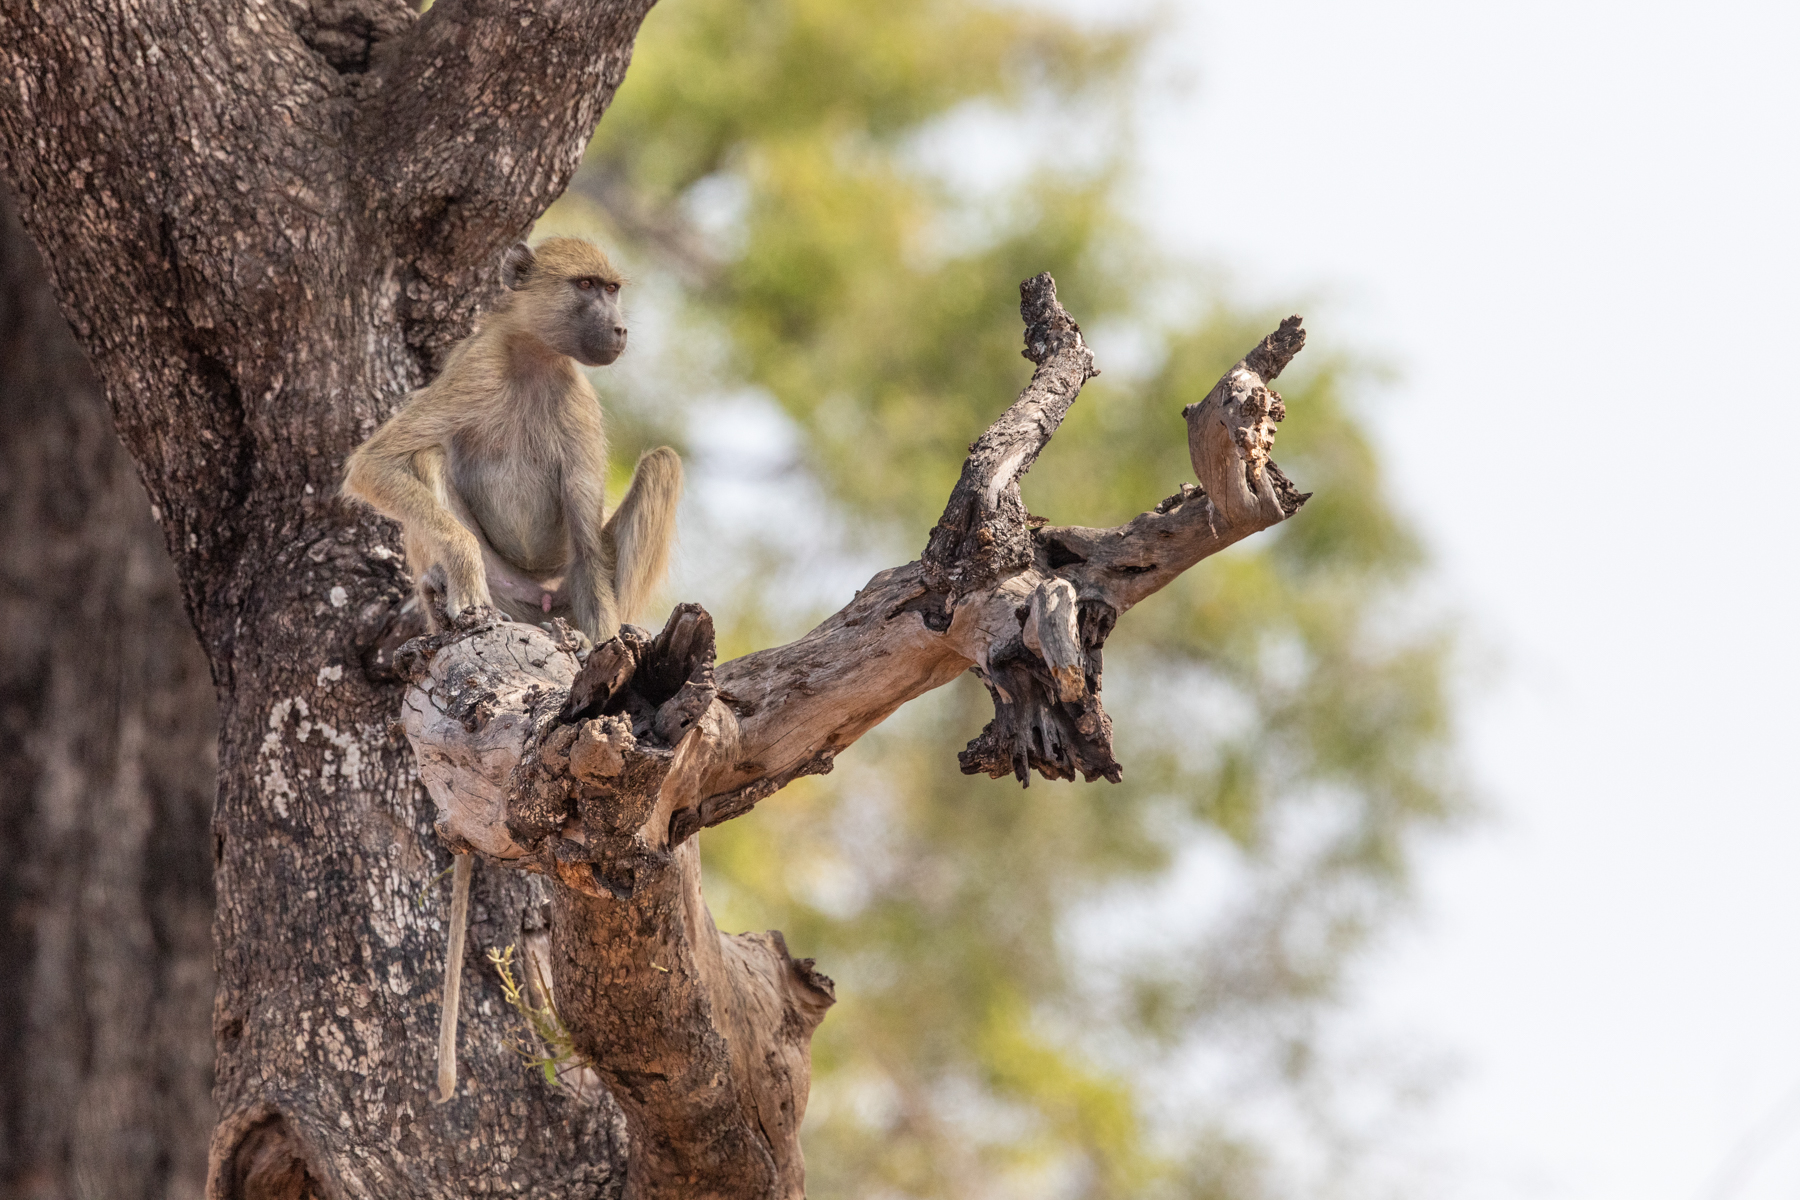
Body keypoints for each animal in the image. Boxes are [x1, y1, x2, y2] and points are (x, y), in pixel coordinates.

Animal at [341, 237, 682, 1102]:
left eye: (613, 288)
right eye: (588, 287)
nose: (620, 329)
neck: (533, 358)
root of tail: (531, 609)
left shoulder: (578, 406)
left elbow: (589, 543)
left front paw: (613, 655)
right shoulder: (473, 371)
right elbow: (378, 461)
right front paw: (455, 570)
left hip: (554, 592)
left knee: (658, 469)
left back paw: (588, 638)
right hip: (508, 589)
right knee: (427, 460)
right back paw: (447, 607)